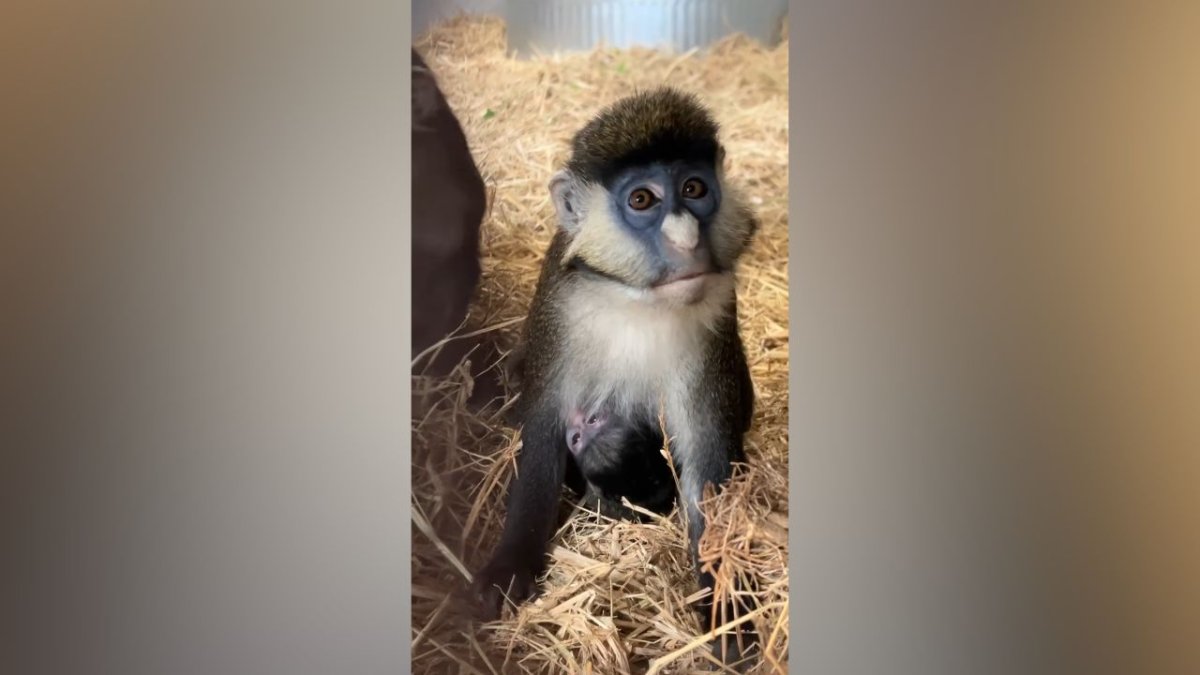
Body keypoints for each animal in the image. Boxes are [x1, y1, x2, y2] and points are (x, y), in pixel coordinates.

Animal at [471, 87, 759, 665]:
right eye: (642, 200)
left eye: (694, 189)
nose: (687, 239)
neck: (633, 299)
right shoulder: (558, 308)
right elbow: (541, 435)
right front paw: (508, 568)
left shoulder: (714, 318)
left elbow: (706, 467)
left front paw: (728, 615)